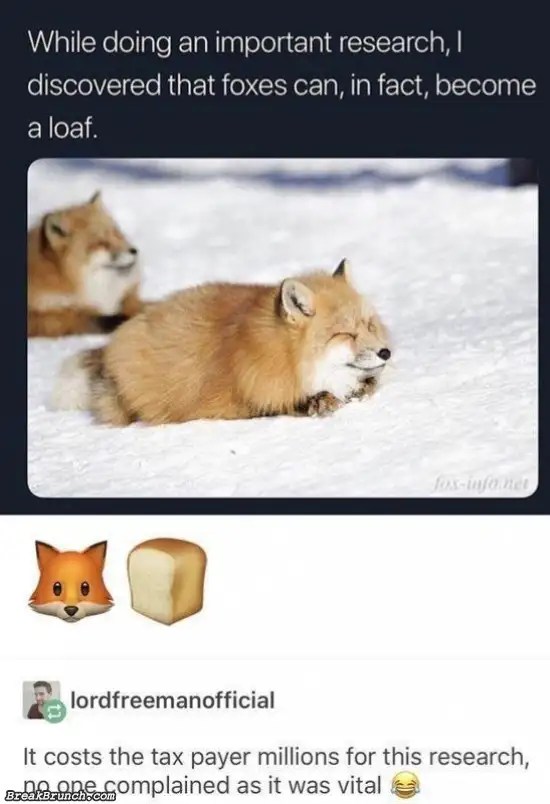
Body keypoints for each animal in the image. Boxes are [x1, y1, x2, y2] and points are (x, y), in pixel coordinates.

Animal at [52, 258, 391, 425]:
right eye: (345, 334)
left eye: (369, 325)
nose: (385, 352)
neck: (282, 356)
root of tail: (113, 343)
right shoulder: (243, 399)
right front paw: (321, 401)